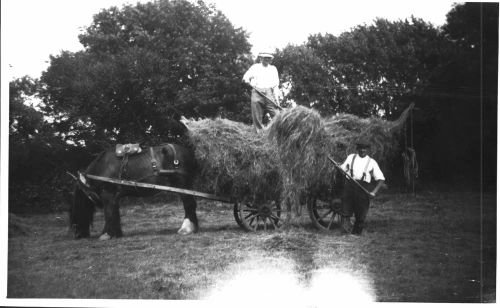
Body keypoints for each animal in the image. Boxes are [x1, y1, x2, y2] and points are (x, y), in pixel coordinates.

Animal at [69, 143, 198, 239]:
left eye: (77, 207)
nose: (77, 235)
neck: (102, 167)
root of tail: (189, 153)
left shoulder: (107, 194)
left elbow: (109, 213)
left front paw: (106, 234)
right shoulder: (114, 197)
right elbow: (115, 212)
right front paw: (116, 233)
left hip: (182, 184)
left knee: (188, 204)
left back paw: (186, 228)